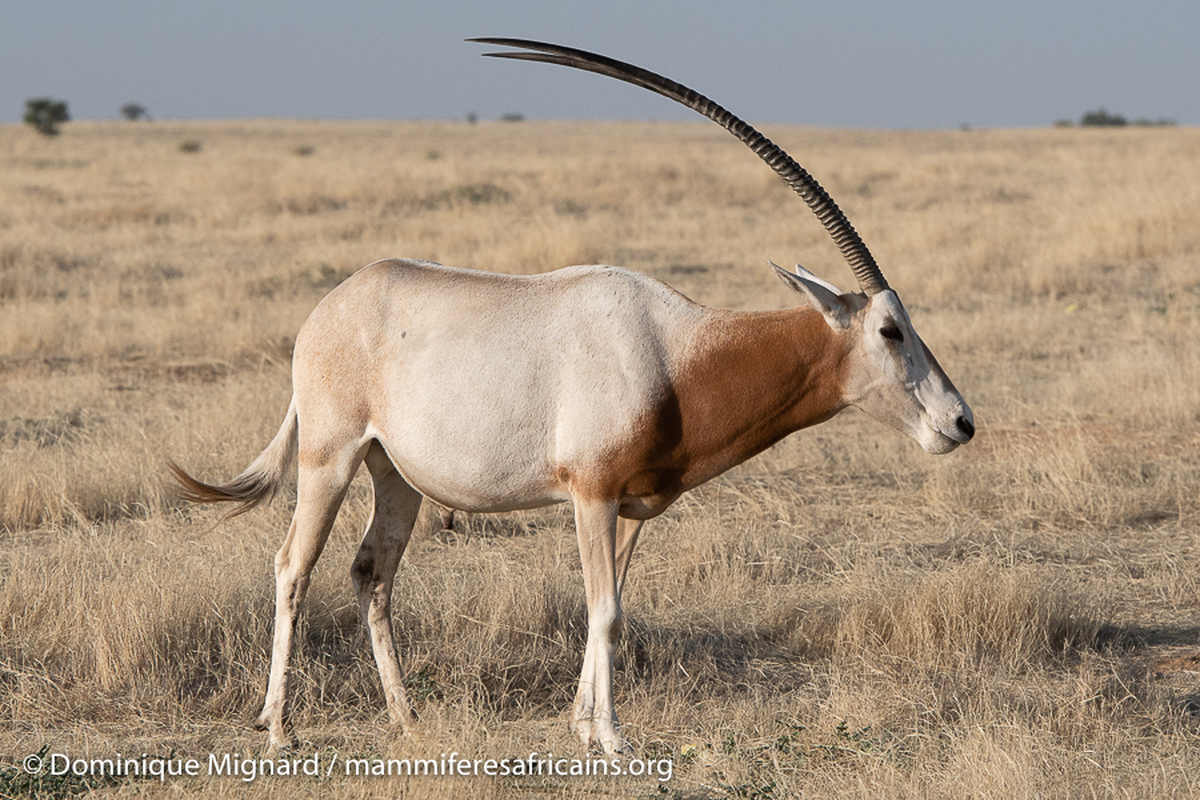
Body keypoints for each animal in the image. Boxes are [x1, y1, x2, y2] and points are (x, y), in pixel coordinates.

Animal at [169, 38, 974, 758]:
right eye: (891, 330)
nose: (960, 422)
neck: (673, 352)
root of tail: (328, 310)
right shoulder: (590, 493)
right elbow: (605, 610)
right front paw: (612, 738)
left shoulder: (632, 505)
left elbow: (610, 605)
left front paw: (583, 725)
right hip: (330, 458)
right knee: (292, 568)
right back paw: (279, 728)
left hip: (393, 472)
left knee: (373, 572)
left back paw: (405, 719)